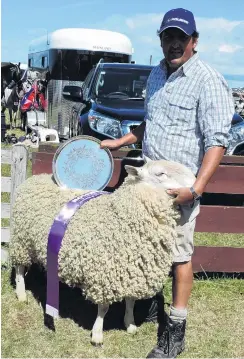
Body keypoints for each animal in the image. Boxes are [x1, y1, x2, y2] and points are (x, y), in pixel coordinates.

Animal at [10, 159, 196, 348]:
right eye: (161, 174)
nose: (195, 184)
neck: (122, 218)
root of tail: (35, 178)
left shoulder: (133, 271)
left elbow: (131, 301)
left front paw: (130, 324)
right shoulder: (103, 273)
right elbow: (104, 308)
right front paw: (97, 335)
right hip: (21, 240)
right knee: (19, 268)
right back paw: (21, 294)